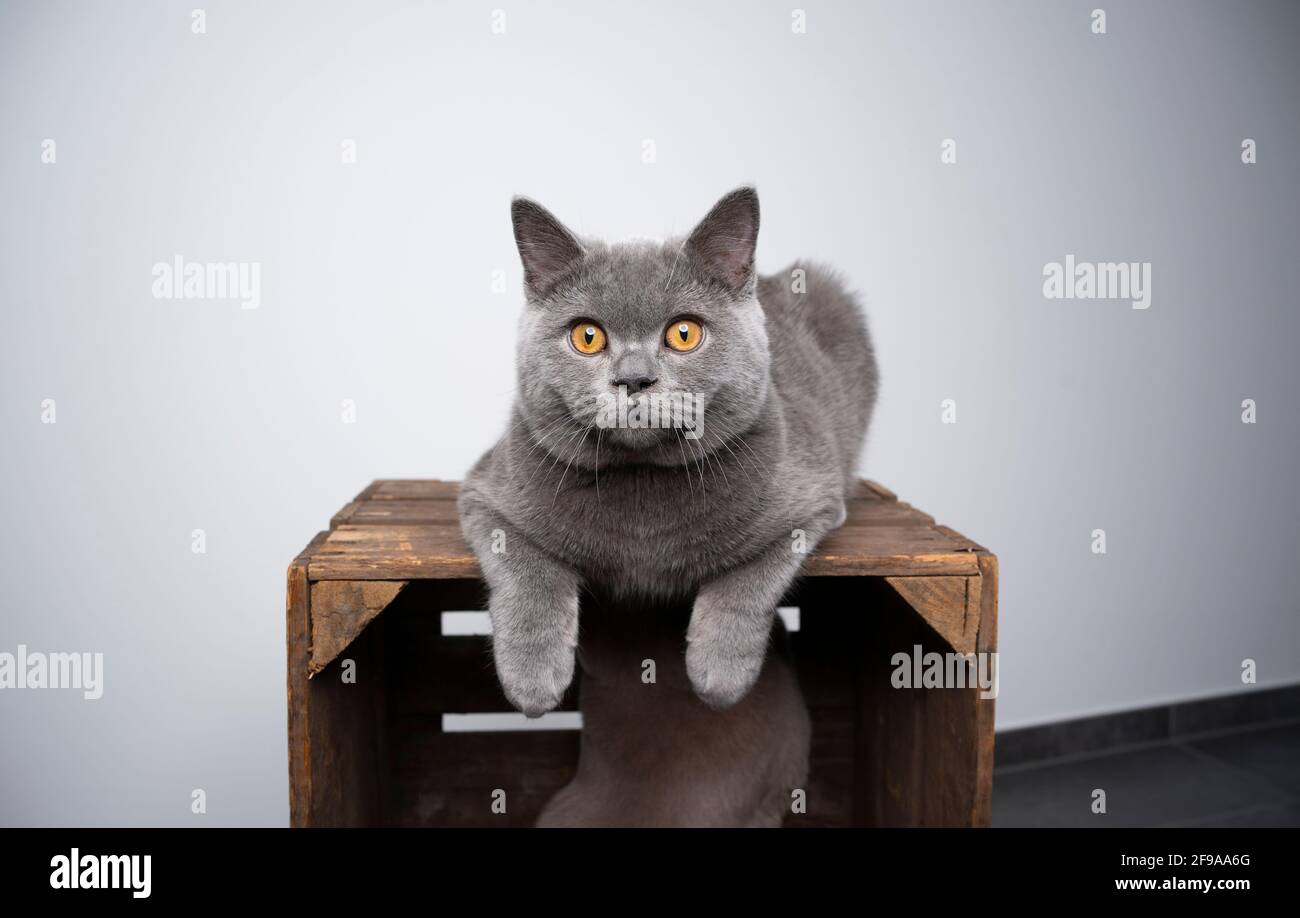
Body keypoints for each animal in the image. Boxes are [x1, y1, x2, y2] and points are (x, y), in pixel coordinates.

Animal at [454, 185, 873, 821]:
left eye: (683, 334)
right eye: (587, 336)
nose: (634, 378)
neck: (643, 497)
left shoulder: (810, 500)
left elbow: (747, 577)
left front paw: (718, 673)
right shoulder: (487, 492)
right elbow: (528, 571)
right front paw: (533, 678)